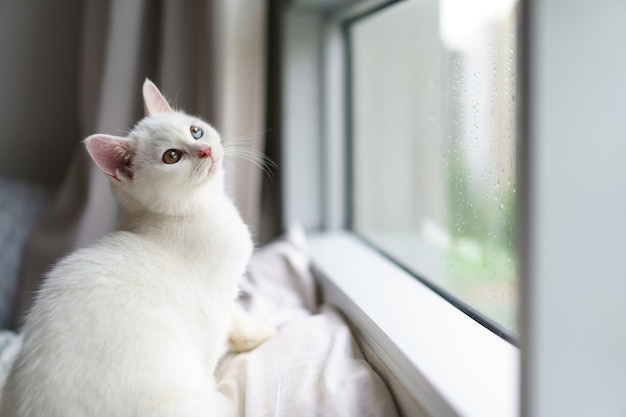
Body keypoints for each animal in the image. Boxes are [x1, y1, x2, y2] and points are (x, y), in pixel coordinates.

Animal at [0, 79, 272, 414]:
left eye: (195, 131)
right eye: (172, 157)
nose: (206, 149)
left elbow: (240, 319)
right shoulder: (216, 304)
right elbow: (233, 326)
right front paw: (263, 335)